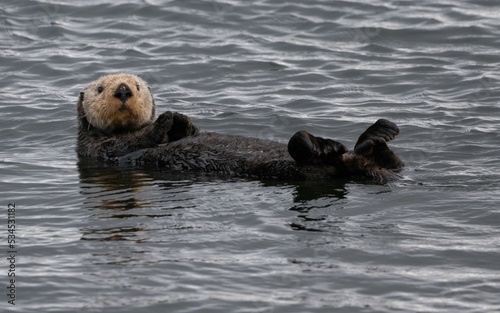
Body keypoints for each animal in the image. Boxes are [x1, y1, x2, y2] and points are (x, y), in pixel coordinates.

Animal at [79, 73, 406, 180]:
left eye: (136, 85)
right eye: (100, 89)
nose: (123, 90)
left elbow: (189, 133)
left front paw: (180, 119)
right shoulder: (101, 149)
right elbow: (135, 143)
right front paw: (165, 120)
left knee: (387, 161)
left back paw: (380, 133)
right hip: (305, 169)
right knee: (309, 155)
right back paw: (324, 145)